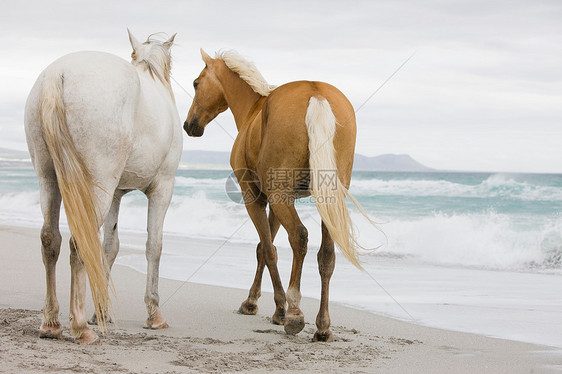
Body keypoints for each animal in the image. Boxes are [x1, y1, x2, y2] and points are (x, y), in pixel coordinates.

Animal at [23, 30, 182, 344]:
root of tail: (57, 74)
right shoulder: (162, 188)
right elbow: (154, 246)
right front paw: (154, 314)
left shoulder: (117, 194)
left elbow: (110, 247)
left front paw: (102, 311)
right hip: (98, 186)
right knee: (78, 243)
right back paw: (80, 328)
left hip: (49, 179)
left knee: (50, 239)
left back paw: (51, 323)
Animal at [184, 50, 364, 342]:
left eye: (195, 83)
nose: (189, 125)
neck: (254, 110)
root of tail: (316, 93)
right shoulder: (276, 202)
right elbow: (263, 248)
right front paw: (255, 301)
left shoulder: (256, 197)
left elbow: (268, 250)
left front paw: (275, 308)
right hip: (325, 199)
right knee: (326, 254)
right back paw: (322, 326)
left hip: (282, 198)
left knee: (299, 238)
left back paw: (294, 313)